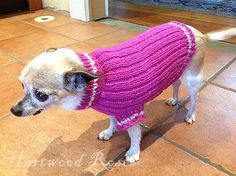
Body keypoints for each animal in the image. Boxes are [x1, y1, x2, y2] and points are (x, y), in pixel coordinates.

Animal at [11, 21, 236, 162]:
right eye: (21, 85)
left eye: (41, 96)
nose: (14, 111)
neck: (97, 82)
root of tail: (198, 33)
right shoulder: (113, 109)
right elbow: (112, 122)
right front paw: (109, 132)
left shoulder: (131, 113)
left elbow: (134, 135)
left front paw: (133, 152)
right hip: (176, 73)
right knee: (176, 86)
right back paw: (173, 100)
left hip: (192, 78)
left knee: (195, 98)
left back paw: (190, 115)